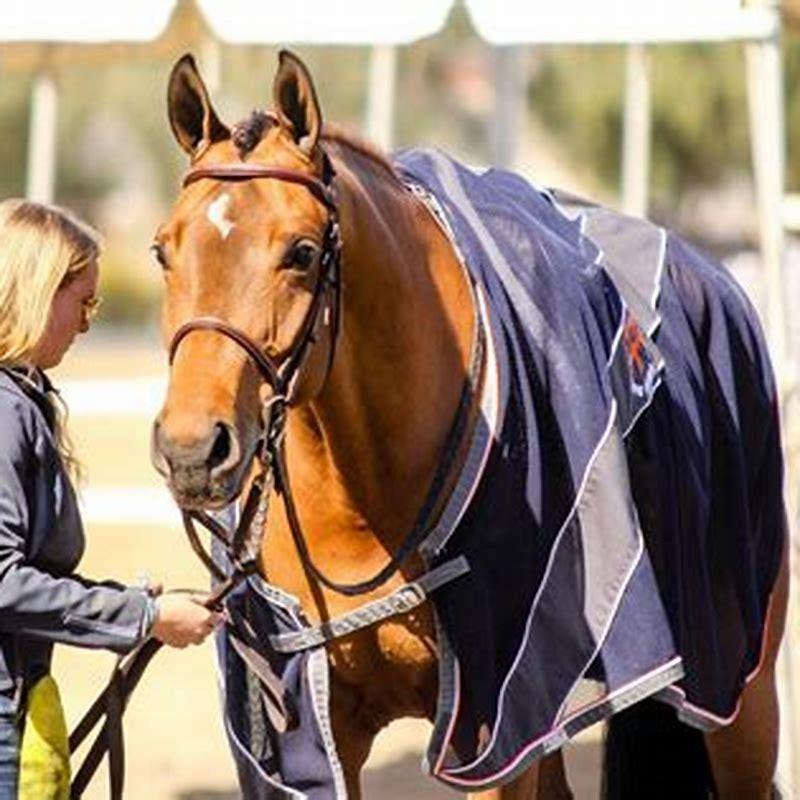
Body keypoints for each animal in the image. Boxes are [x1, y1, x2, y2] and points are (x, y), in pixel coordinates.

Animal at [150, 50, 789, 799]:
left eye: (302, 253)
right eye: (164, 251)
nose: (192, 451)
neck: (360, 497)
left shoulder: (497, 733)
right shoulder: (319, 734)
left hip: (741, 698)